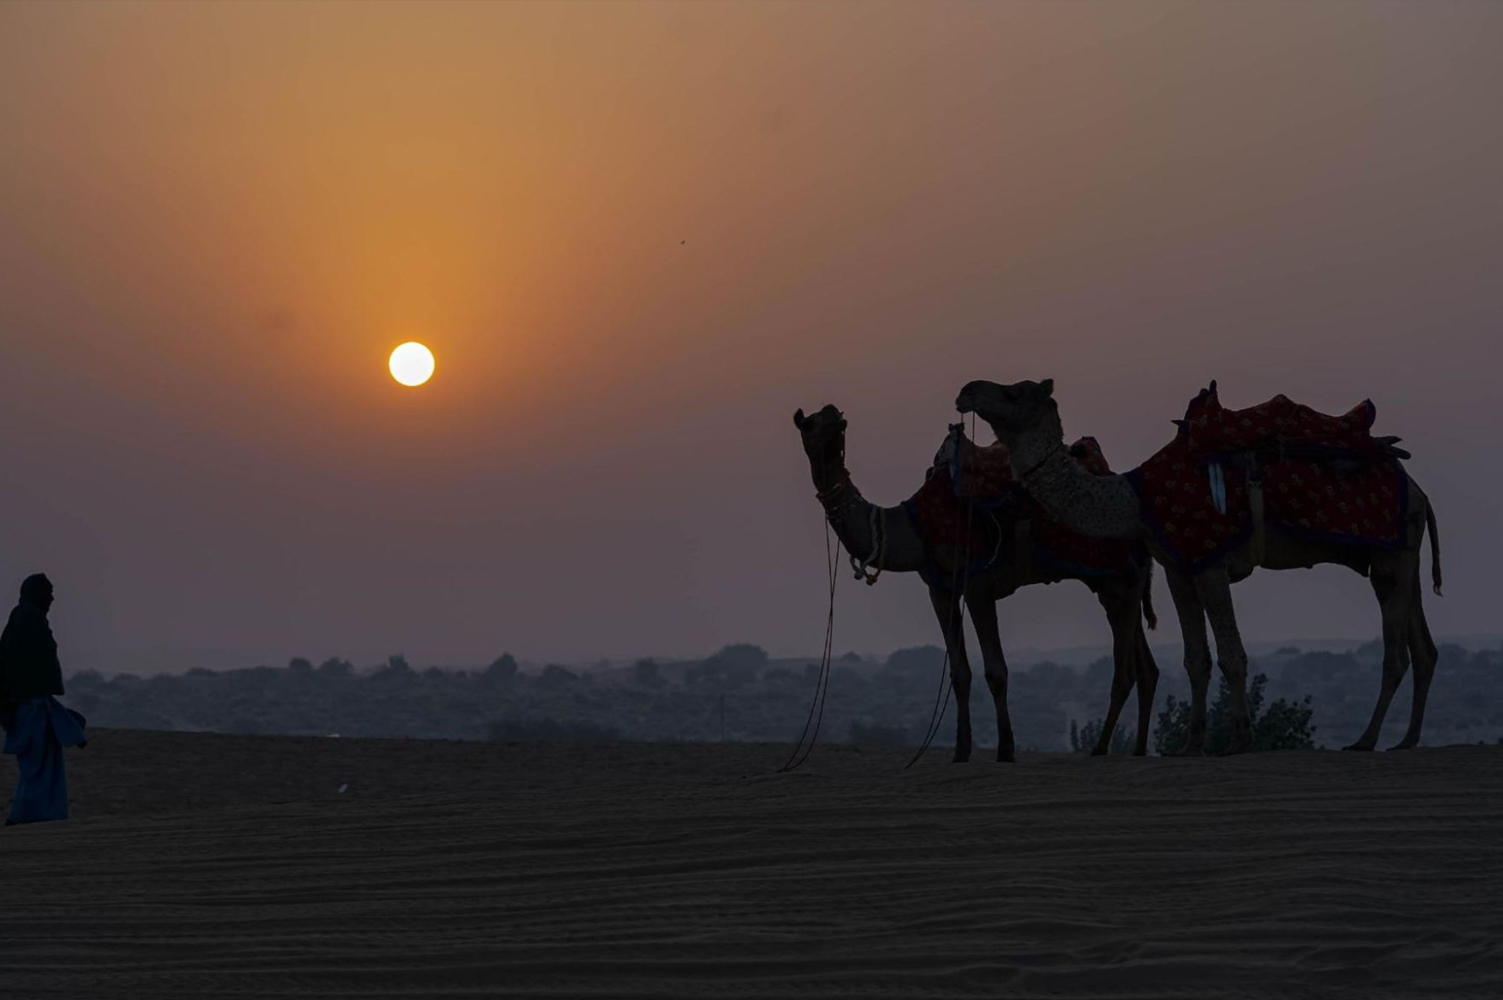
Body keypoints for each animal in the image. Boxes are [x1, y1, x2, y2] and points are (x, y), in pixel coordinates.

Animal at [799, 403, 1160, 760]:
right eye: (810, 424)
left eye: (829, 418)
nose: (836, 418)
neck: (915, 527)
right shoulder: (939, 589)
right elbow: (960, 673)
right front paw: (961, 749)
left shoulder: (978, 586)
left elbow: (996, 671)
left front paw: (1006, 748)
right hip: (1116, 585)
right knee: (1146, 668)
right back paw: (1139, 748)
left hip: (1120, 581)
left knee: (1126, 671)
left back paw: (1100, 747)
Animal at [955, 378, 1436, 751]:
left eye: (1014, 391)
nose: (966, 391)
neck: (1135, 501)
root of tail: (1418, 490)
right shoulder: (1177, 569)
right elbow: (1195, 658)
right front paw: (1192, 743)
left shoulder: (1210, 562)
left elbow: (1232, 655)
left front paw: (1239, 740)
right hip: (1399, 553)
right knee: (1423, 646)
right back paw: (1407, 739)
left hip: (1391, 556)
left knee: (1396, 653)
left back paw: (1366, 740)